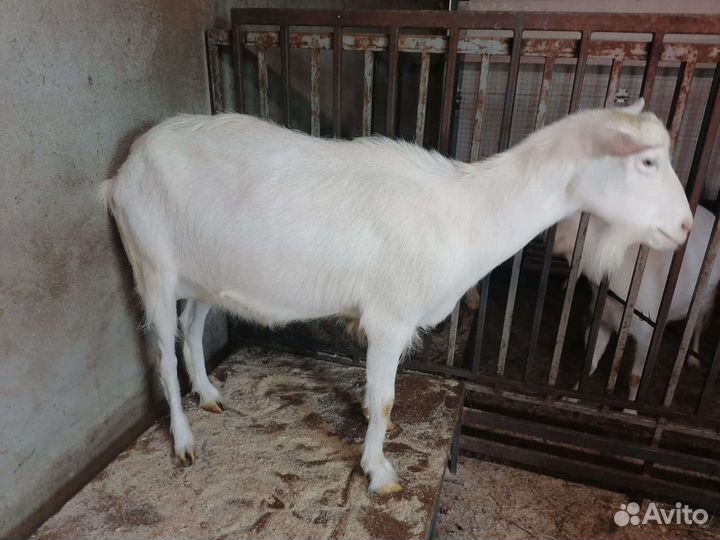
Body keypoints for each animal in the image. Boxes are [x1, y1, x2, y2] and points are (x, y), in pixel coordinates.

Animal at [101, 98, 691, 494]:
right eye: (646, 162)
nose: (685, 227)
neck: (466, 213)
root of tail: (122, 172)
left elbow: (376, 396)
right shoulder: (389, 319)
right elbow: (386, 398)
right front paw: (379, 472)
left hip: (205, 275)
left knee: (192, 329)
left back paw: (209, 394)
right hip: (152, 264)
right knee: (161, 351)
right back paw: (183, 441)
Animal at [554, 206, 717, 402]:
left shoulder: (647, 333)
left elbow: (636, 377)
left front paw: (629, 407)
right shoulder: (603, 320)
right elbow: (590, 361)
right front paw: (571, 396)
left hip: (705, 296)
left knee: (698, 326)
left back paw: (693, 359)